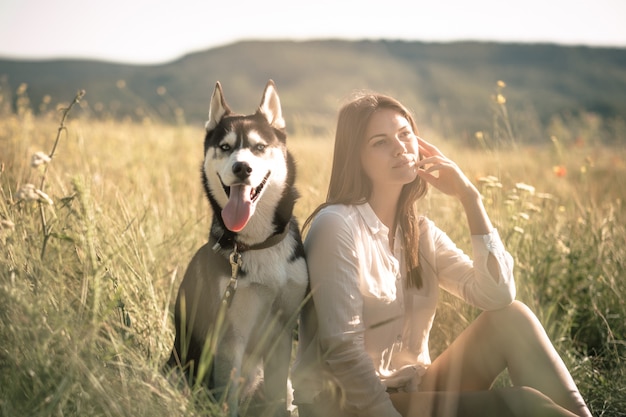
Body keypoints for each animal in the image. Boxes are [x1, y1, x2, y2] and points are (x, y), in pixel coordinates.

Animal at [167, 79, 308, 414]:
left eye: (259, 147)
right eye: (225, 147)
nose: (242, 168)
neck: (257, 245)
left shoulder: (282, 329)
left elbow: (278, 399)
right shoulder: (231, 334)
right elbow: (226, 396)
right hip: (178, 369)